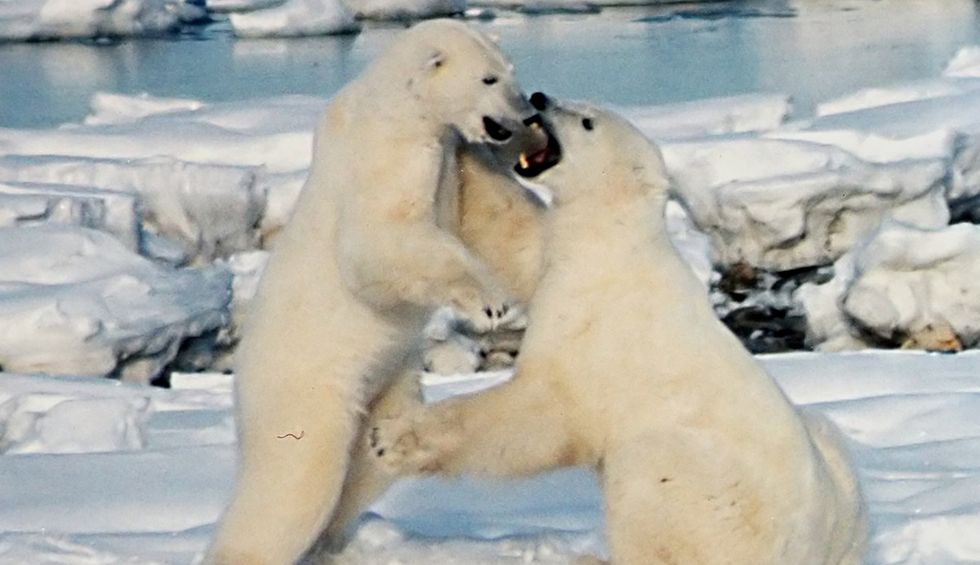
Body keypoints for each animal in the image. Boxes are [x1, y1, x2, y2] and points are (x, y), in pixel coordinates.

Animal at [203, 20, 549, 565]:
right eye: (490, 78)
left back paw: (331, 539)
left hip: (387, 382)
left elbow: (486, 213)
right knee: (296, 477)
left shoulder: (450, 153)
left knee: (368, 464)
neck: (399, 106)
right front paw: (491, 303)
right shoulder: (388, 154)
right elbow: (381, 243)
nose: (528, 113)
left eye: (510, 70)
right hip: (305, 389)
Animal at [335, 96, 868, 564]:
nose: (539, 98)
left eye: (587, 121)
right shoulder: (563, 256)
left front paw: (391, 437)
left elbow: (539, 414)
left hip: (716, 498)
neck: (614, 243)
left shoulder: (598, 326)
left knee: (649, 476)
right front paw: (468, 145)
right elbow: (520, 238)